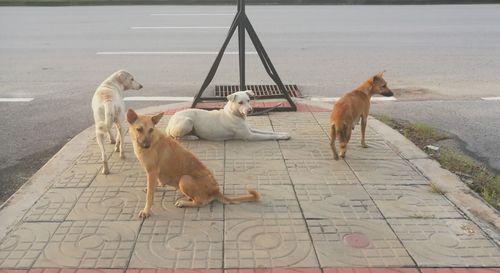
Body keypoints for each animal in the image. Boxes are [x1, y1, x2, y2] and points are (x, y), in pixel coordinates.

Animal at [126, 108, 262, 217]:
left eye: (151, 130)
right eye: (139, 129)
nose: (146, 146)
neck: (152, 140)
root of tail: (217, 191)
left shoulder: (152, 172)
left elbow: (149, 196)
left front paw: (146, 211)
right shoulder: (154, 174)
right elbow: (155, 186)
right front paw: (157, 188)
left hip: (184, 179)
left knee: (200, 202)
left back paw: (184, 202)